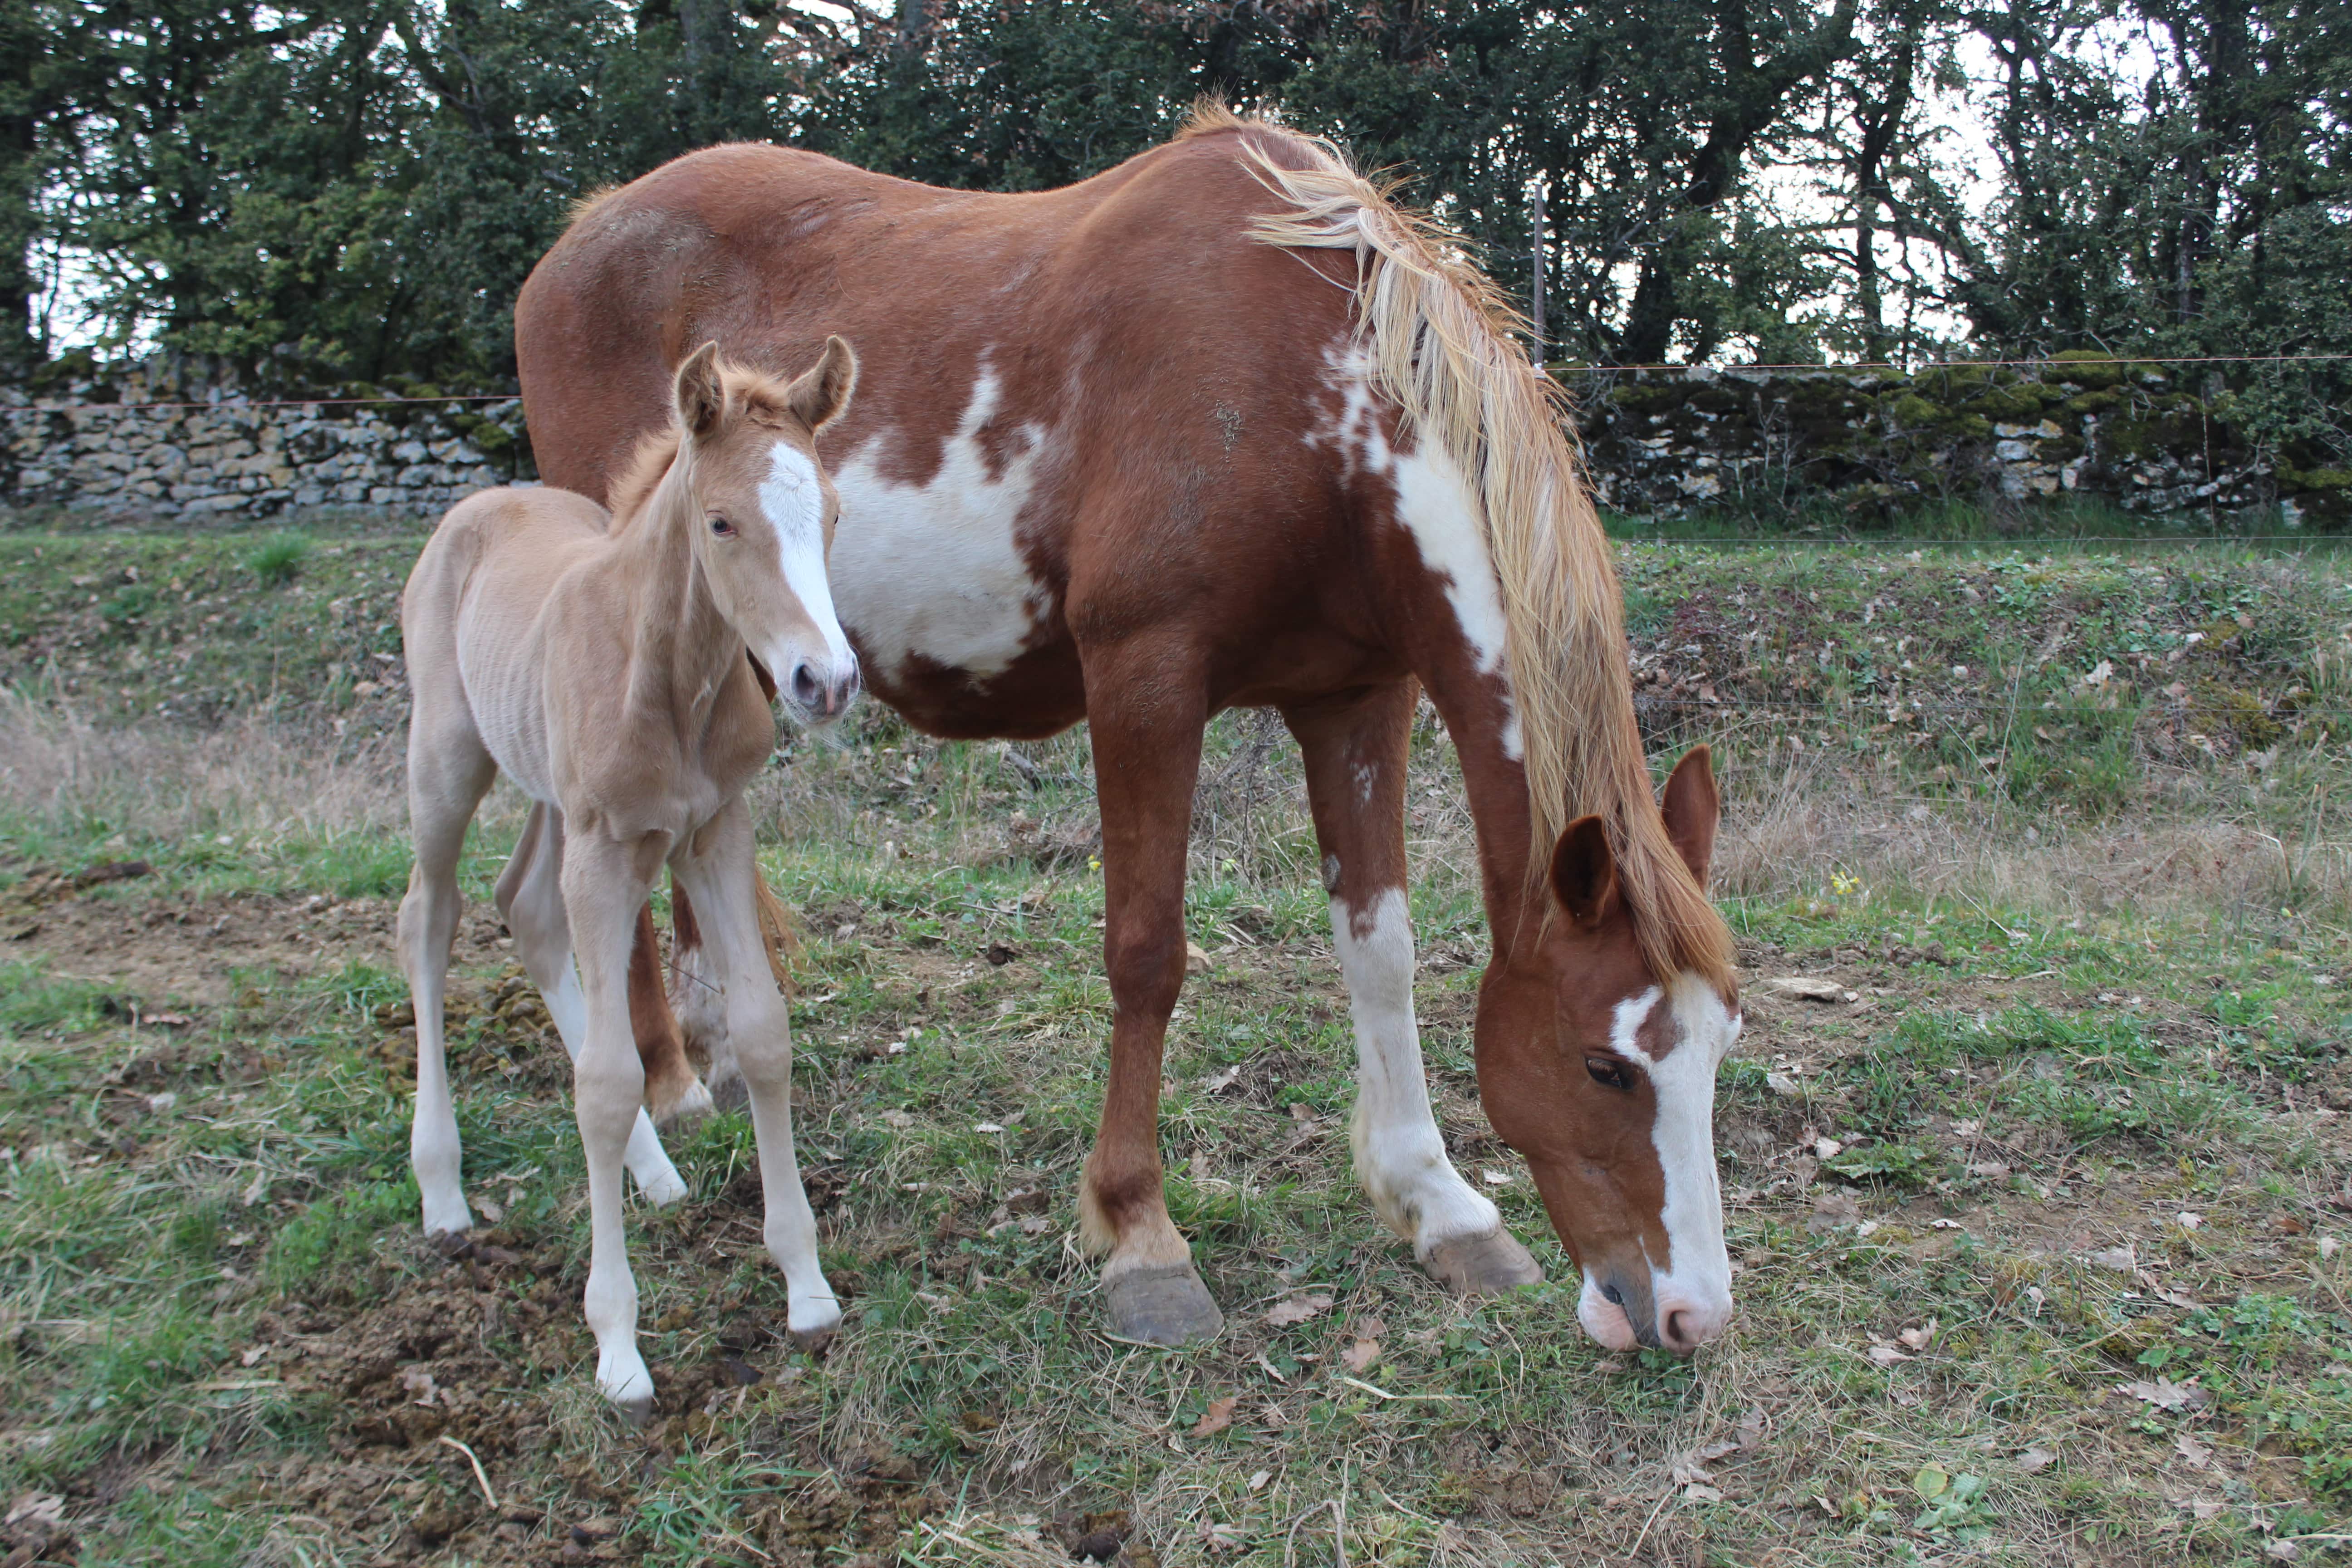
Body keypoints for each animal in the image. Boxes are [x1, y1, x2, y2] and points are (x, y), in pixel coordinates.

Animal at [400, 338, 870, 1420]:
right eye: (722, 522)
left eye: (830, 514)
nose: (824, 682)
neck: (667, 674)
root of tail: (476, 505)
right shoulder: (606, 851)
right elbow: (607, 1086)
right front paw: (617, 1347)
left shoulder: (714, 832)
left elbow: (763, 1034)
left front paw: (806, 1287)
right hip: (447, 762)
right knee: (429, 921)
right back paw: (441, 1189)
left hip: (551, 802)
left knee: (522, 911)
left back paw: (651, 1177)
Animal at [524, 104, 1759, 1354]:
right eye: (1604, 1066)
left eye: (1721, 1044)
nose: (1692, 1313)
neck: (1310, 403)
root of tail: (582, 234)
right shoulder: (1144, 681)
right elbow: (1147, 953)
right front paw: (1140, 1233)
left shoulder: (1358, 701)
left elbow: (1382, 952)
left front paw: (1439, 1204)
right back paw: (667, 1081)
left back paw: (719, 1050)